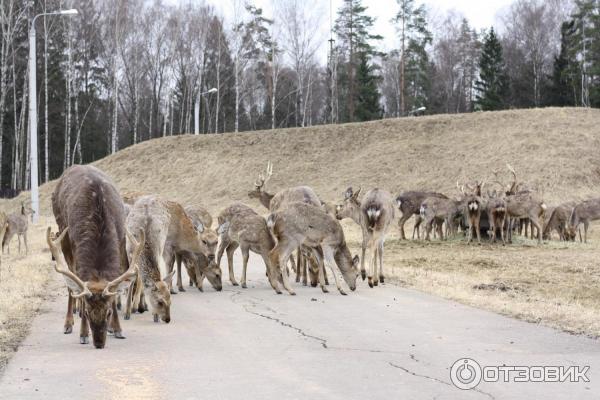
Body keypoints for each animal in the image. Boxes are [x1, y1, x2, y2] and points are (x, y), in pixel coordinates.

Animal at [48, 164, 144, 348]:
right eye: (87, 312)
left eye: (108, 313)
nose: (99, 343)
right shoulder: (74, 244)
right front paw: (83, 334)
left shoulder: (121, 240)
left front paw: (117, 329)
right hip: (63, 235)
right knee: (70, 284)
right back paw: (68, 324)